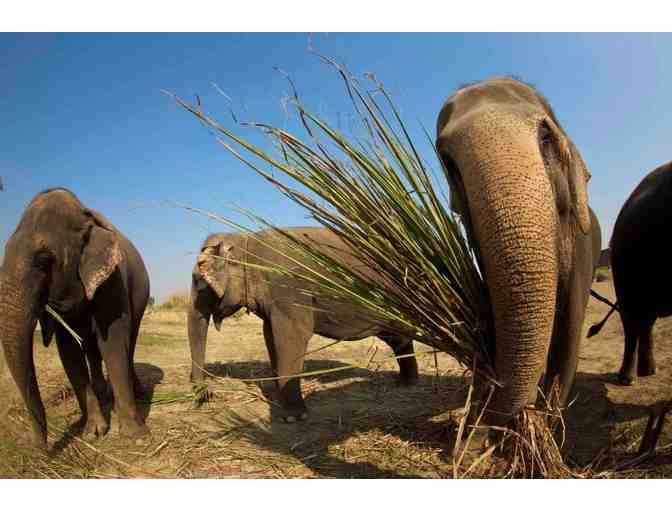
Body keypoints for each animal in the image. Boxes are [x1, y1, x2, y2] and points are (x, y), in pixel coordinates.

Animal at [0, 188, 150, 448]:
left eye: (43, 260)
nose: (40, 447)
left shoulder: (113, 279)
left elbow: (112, 343)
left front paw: (135, 435)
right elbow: (69, 351)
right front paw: (93, 432)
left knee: (129, 342)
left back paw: (136, 391)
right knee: (91, 348)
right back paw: (103, 394)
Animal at [188, 227, 419, 422]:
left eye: (197, 281)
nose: (207, 395)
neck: (246, 240)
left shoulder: (288, 288)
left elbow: (292, 337)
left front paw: (294, 417)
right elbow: (270, 335)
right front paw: (279, 399)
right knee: (397, 339)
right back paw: (406, 383)